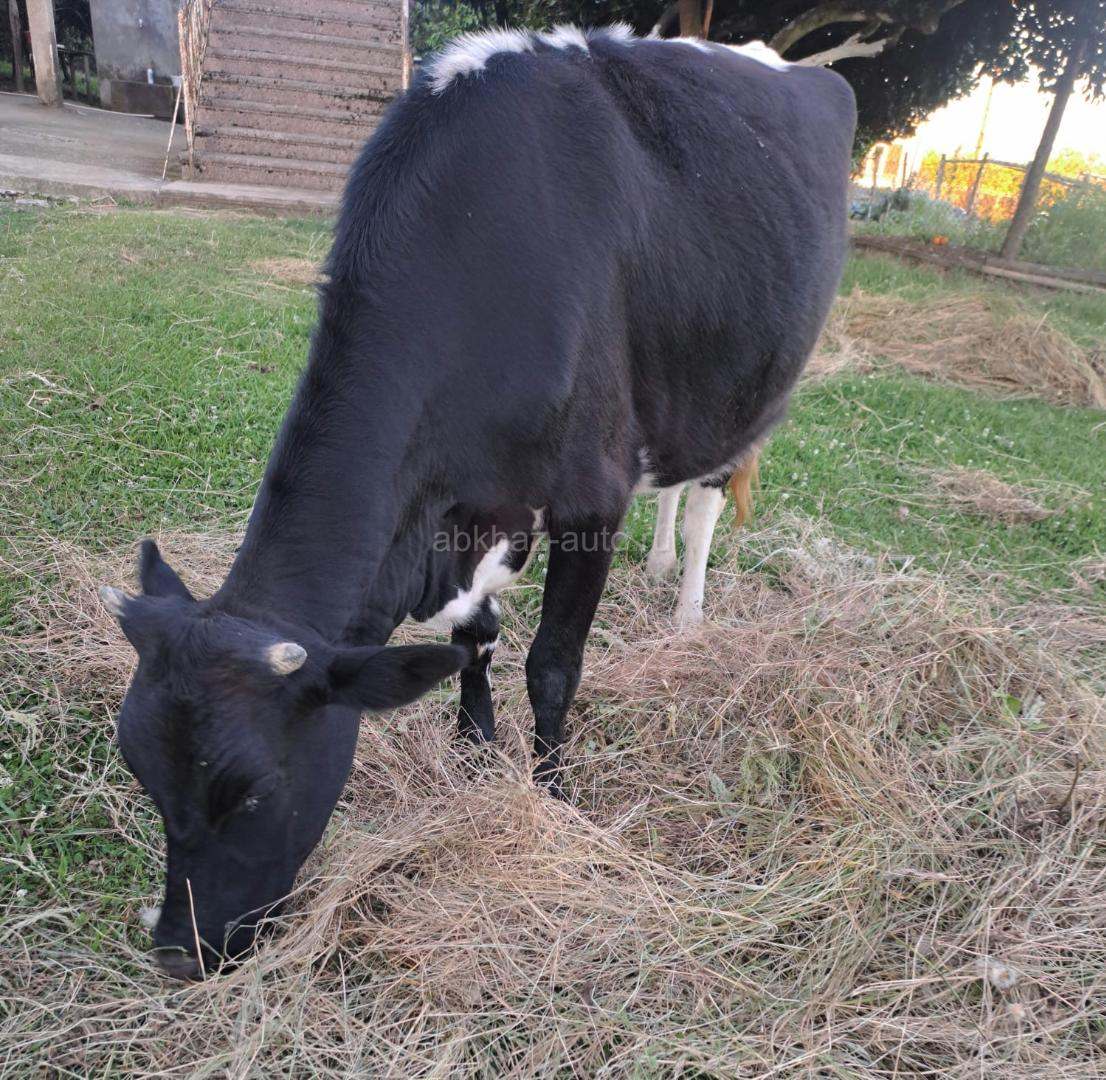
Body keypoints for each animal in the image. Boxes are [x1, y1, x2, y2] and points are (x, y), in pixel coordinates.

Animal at [99, 24, 855, 979]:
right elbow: (475, 639)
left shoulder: (589, 498)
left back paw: (685, 607)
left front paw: (552, 793)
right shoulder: (466, 511)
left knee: (710, 497)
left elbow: (552, 666)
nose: (176, 952)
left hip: (754, 386)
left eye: (253, 792)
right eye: (142, 774)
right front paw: (471, 747)